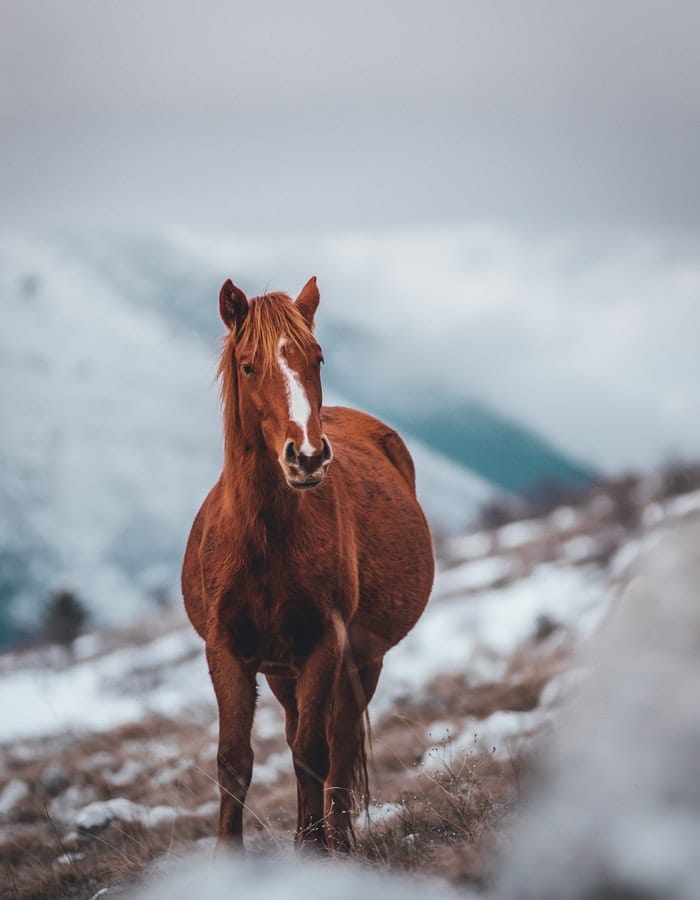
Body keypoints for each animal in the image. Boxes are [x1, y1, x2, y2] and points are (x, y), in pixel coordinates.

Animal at [182, 276, 434, 851]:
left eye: (317, 358)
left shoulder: (325, 644)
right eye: (248, 365)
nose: (308, 456)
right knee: (300, 729)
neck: (264, 540)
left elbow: (314, 753)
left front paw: (319, 850)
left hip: (362, 658)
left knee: (338, 740)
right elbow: (235, 761)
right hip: (281, 670)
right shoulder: (227, 650)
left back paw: (334, 838)